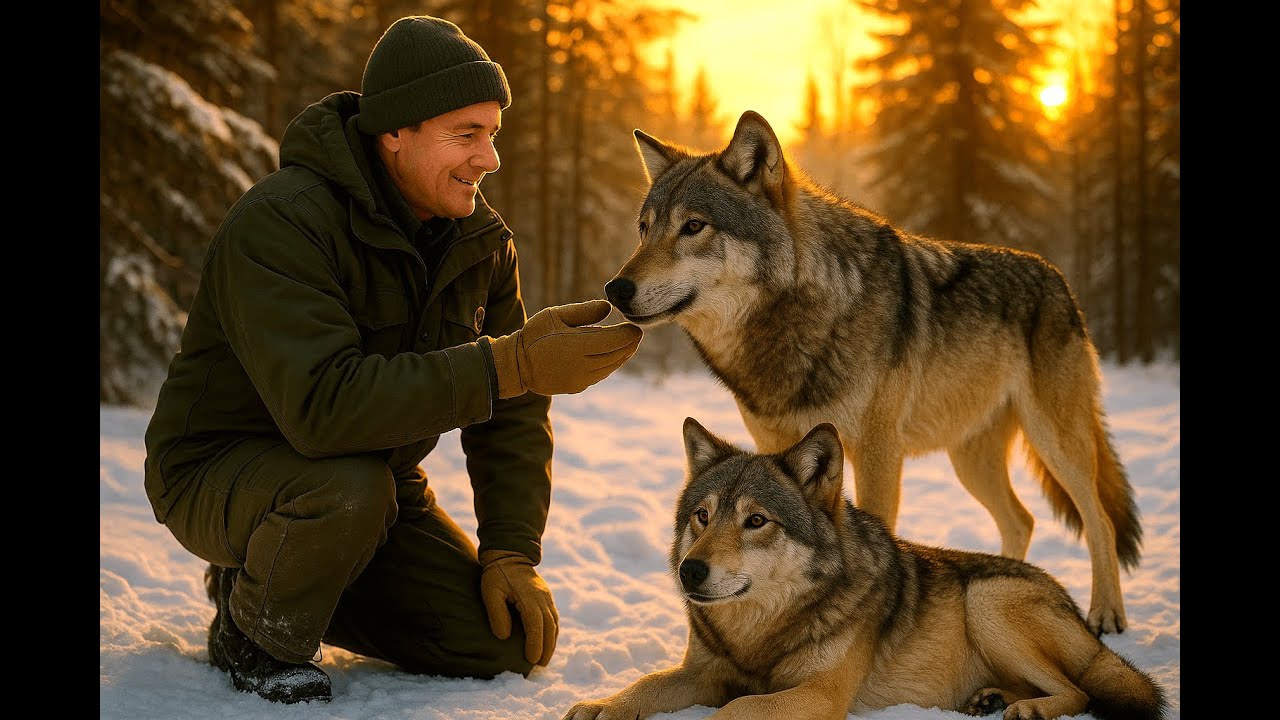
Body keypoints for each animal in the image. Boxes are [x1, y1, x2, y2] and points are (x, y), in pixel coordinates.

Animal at [562, 419, 1167, 720]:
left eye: (756, 520)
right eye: (702, 516)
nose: (690, 571)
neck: (758, 635)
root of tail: (1072, 605)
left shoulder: (818, 695)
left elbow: (733, 712)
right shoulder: (702, 674)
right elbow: (642, 686)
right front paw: (600, 708)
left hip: (987, 603)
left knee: (1080, 691)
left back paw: (1029, 711)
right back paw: (989, 700)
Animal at [603, 110, 1141, 635]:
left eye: (694, 226)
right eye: (644, 228)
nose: (615, 289)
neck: (801, 319)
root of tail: (1058, 279)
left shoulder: (878, 453)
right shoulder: (776, 447)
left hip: (1056, 442)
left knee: (1099, 520)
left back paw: (1106, 615)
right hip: (971, 461)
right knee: (1022, 521)